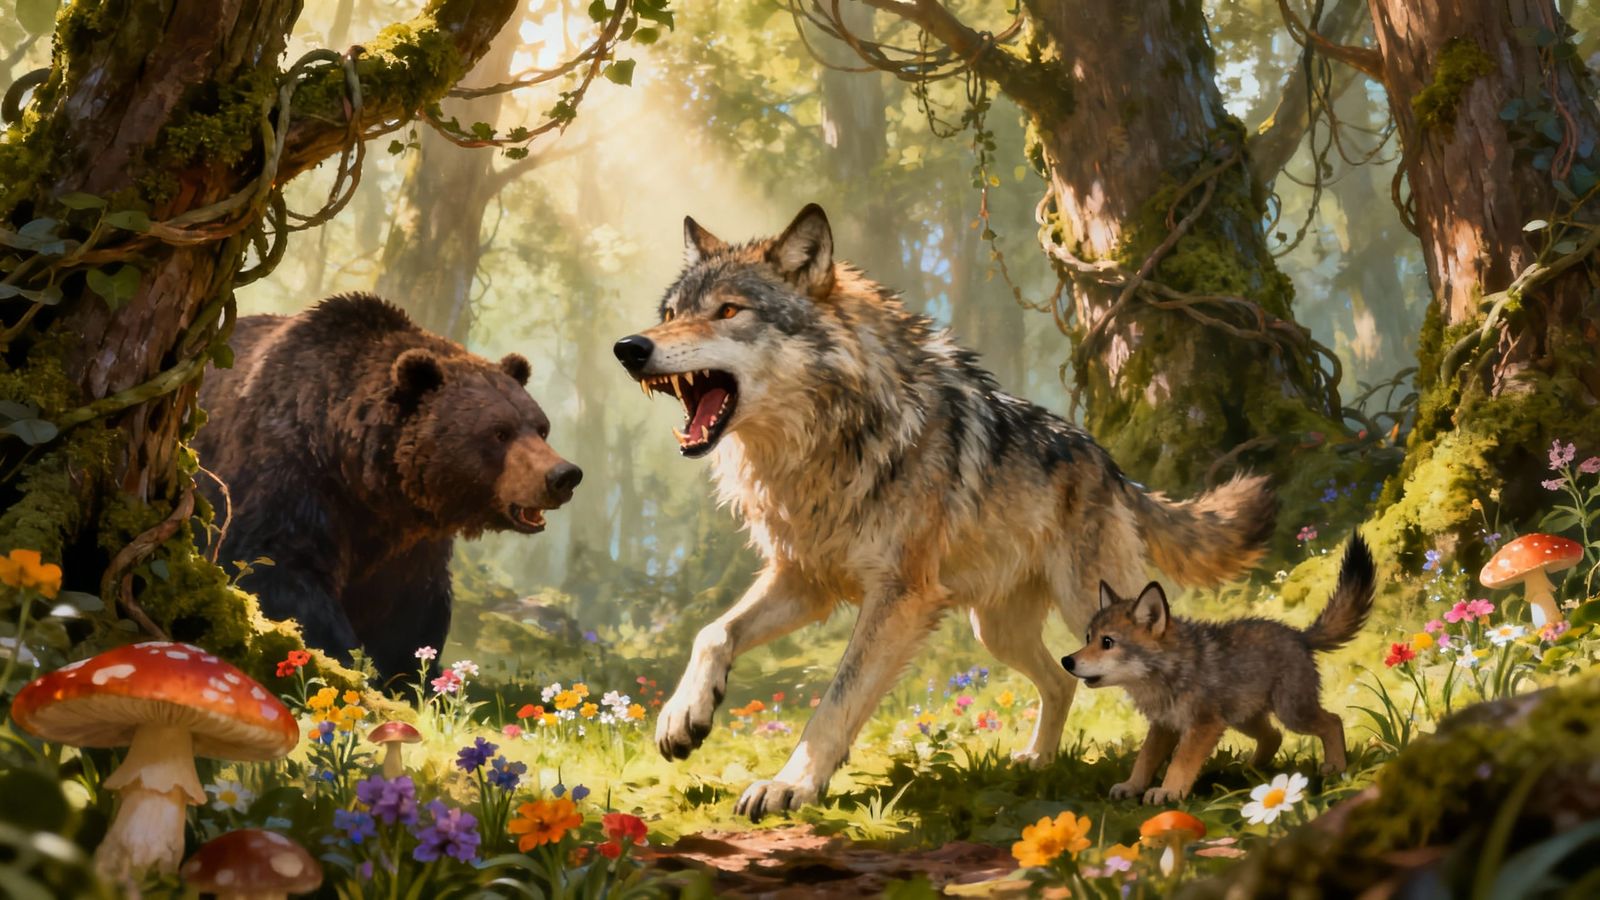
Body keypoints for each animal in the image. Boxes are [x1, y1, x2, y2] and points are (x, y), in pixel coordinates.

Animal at [193, 293, 580, 681]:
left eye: (541, 428)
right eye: (500, 432)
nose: (564, 475)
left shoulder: (409, 546)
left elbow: (410, 610)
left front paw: (406, 672)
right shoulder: (289, 474)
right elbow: (280, 568)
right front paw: (346, 660)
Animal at [612, 204, 1276, 821]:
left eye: (728, 311)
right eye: (670, 314)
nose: (629, 347)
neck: (827, 444)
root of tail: (1109, 463)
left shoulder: (899, 596)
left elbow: (837, 698)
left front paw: (789, 785)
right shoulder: (806, 579)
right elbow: (712, 632)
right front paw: (684, 716)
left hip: (1098, 611)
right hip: (999, 631)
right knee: (1061, 678)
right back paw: (1039, 761)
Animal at [1062, 534, 1375, 804]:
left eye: (1107, 642)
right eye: (1088, 638)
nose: (1067, 661)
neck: (1169, 673)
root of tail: (1299, 635)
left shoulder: (1203, 727)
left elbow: (1179, 764)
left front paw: (1168, 792)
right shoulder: (1165, 726)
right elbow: (1144, 760)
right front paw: (1131, 787)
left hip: (1291, 713)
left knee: (1332, 721)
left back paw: (1335, 767)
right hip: (1243, 718)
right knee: (1274, 737)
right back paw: (1249, 771)